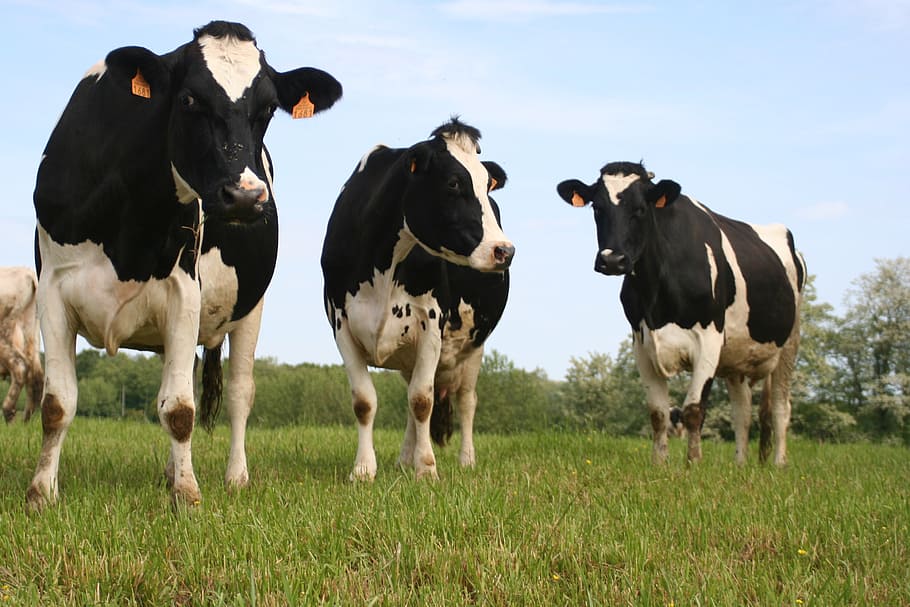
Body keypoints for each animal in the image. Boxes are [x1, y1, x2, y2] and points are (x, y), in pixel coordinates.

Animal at [0, 267, 44, 423]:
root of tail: (27, 272)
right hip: (32, 330)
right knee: (36, 375)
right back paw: (26, 421)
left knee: (20, 366)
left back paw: (9, 413)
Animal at [28, 21, 342, 510]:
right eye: (189, 98)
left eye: (269, 107)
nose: (246, 196)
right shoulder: (52, 291)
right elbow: (57, 403)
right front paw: (42, 493)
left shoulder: (183, 291)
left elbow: (178, 409)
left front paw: (188, 495)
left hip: (251, 307)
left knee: (239, 393)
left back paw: (235, 477)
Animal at [321, 118, 514, 481]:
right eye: (453, 182)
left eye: (487, 184)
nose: (504, 251)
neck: (383, 263)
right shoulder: (341, 323)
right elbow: (365, 401)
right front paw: (364, 469)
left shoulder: (431, 324)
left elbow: (422, 400)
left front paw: (426, 470)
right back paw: (403, 460)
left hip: (474, 347)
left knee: (466, 401)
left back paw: (465, 460)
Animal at [557, 162, 805, 466]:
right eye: (597, 208)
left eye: (641, 208)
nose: (612, 260)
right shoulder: (642, 344)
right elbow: (658, 413)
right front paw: (659, 463)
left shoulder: (709, 340)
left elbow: (693, 410)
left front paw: (693, 464)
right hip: (737, 358)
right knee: (743, 411)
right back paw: (740, 465)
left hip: (790, 342)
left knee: (781, 407)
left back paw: (779, 464)